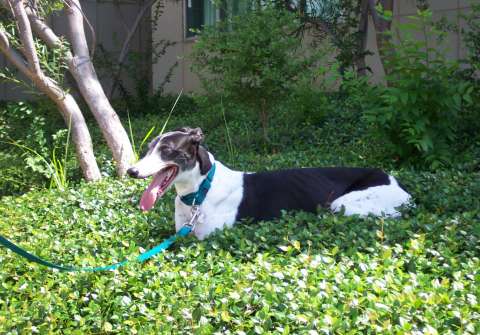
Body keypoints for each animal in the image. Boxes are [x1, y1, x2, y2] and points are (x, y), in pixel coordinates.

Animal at [127, 127, 412, 240]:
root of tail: (401, 188)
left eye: (167, 150)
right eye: (149, 147)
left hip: (343, 205)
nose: (131, 170)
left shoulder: (205, 238)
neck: (200, 191)